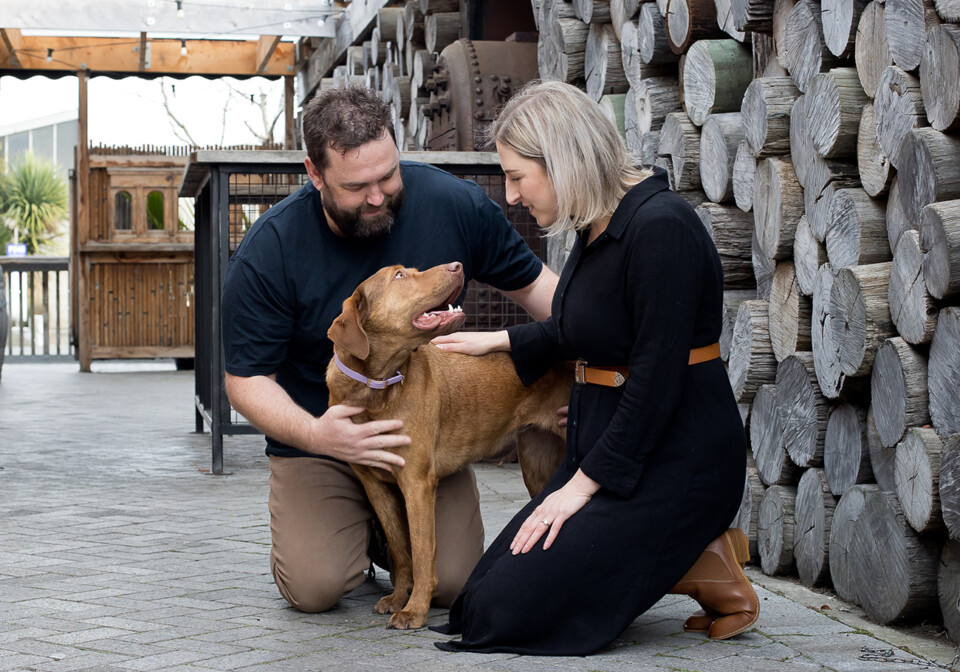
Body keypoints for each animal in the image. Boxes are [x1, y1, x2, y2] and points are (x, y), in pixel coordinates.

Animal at [326, 262, 572, 632]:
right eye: (400, 276)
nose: (457, 266)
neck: (375, 388)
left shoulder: (417, 483)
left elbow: (421, 551)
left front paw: (415, 610)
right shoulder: (374, 484)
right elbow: (401, 549)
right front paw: (398, 598)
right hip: (536, 464)